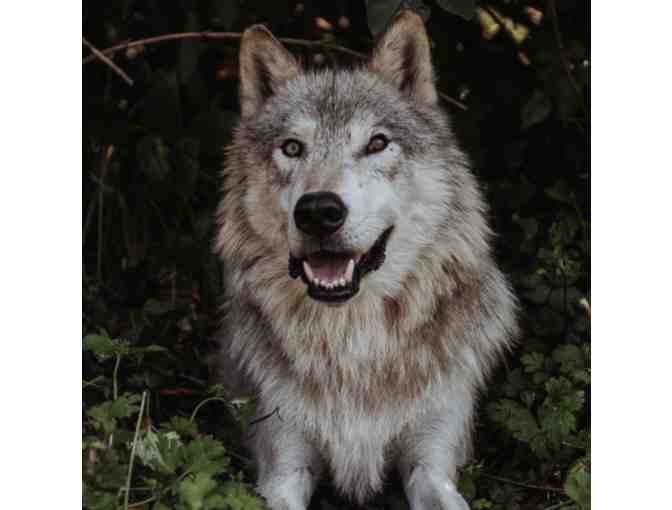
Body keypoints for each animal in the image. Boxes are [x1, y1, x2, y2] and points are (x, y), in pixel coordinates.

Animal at [214, 10, 518, 510]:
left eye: (376, 143)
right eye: (292, 147)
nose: (319, 211)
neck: (353, 339)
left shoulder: (432, 462)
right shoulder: (283, 464)